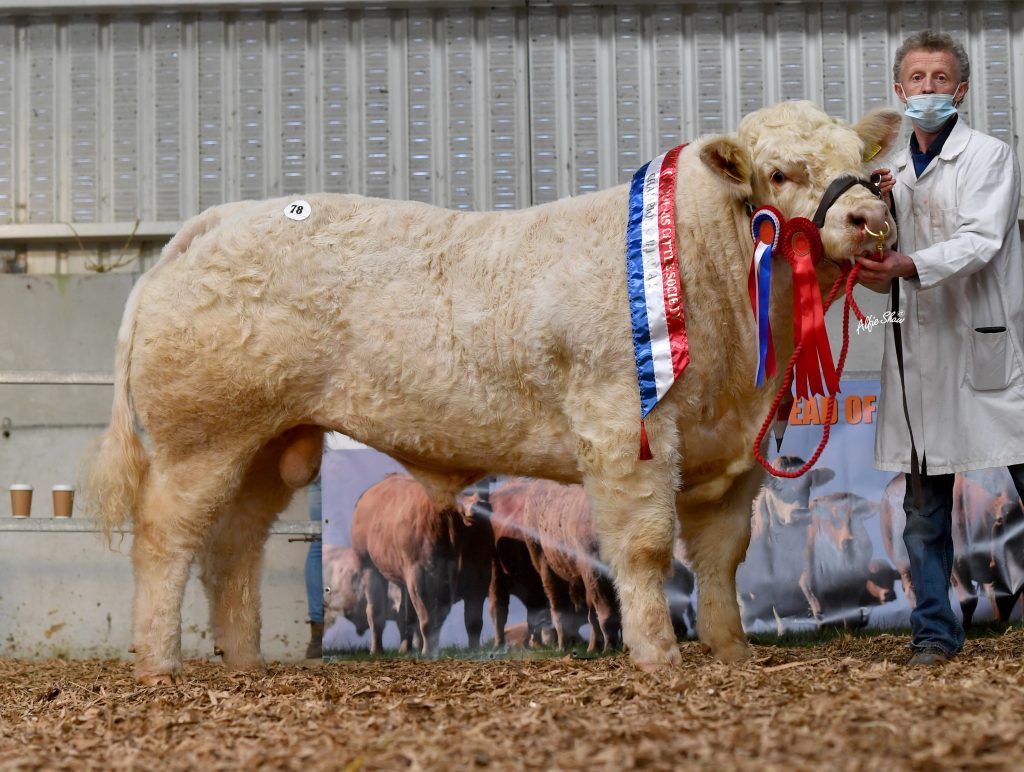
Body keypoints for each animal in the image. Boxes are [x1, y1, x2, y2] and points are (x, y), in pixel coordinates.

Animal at [82, 100, 900, 682]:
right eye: (781, 173)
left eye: (863, 165)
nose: (870, 218)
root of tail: (212, 224)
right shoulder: (623, 427)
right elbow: (643, 550)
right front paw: (660, 657)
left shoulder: (732, 448)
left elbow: (723, 557)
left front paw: (732, 654)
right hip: (201, 438)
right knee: (166, 539)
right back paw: (158, 666)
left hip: (267, 443)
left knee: (233, 548)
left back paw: (246, 661)